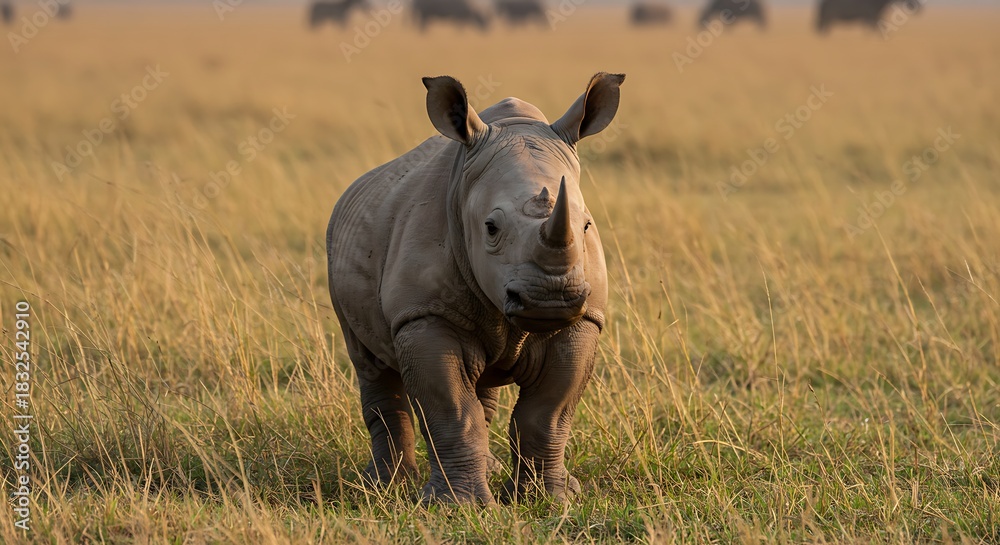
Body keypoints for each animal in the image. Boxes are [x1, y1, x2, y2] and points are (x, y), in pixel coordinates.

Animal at [326, 73, 624, 504]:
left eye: (585, 226)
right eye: (491, 228)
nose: (549, 299)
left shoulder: (584, 317)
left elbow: (548, 414)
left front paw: (549, 499)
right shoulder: (424, 313)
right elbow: (451, 410)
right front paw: (457, 506)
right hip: (339, 242)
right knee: (370, 366)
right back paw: (383, 485)